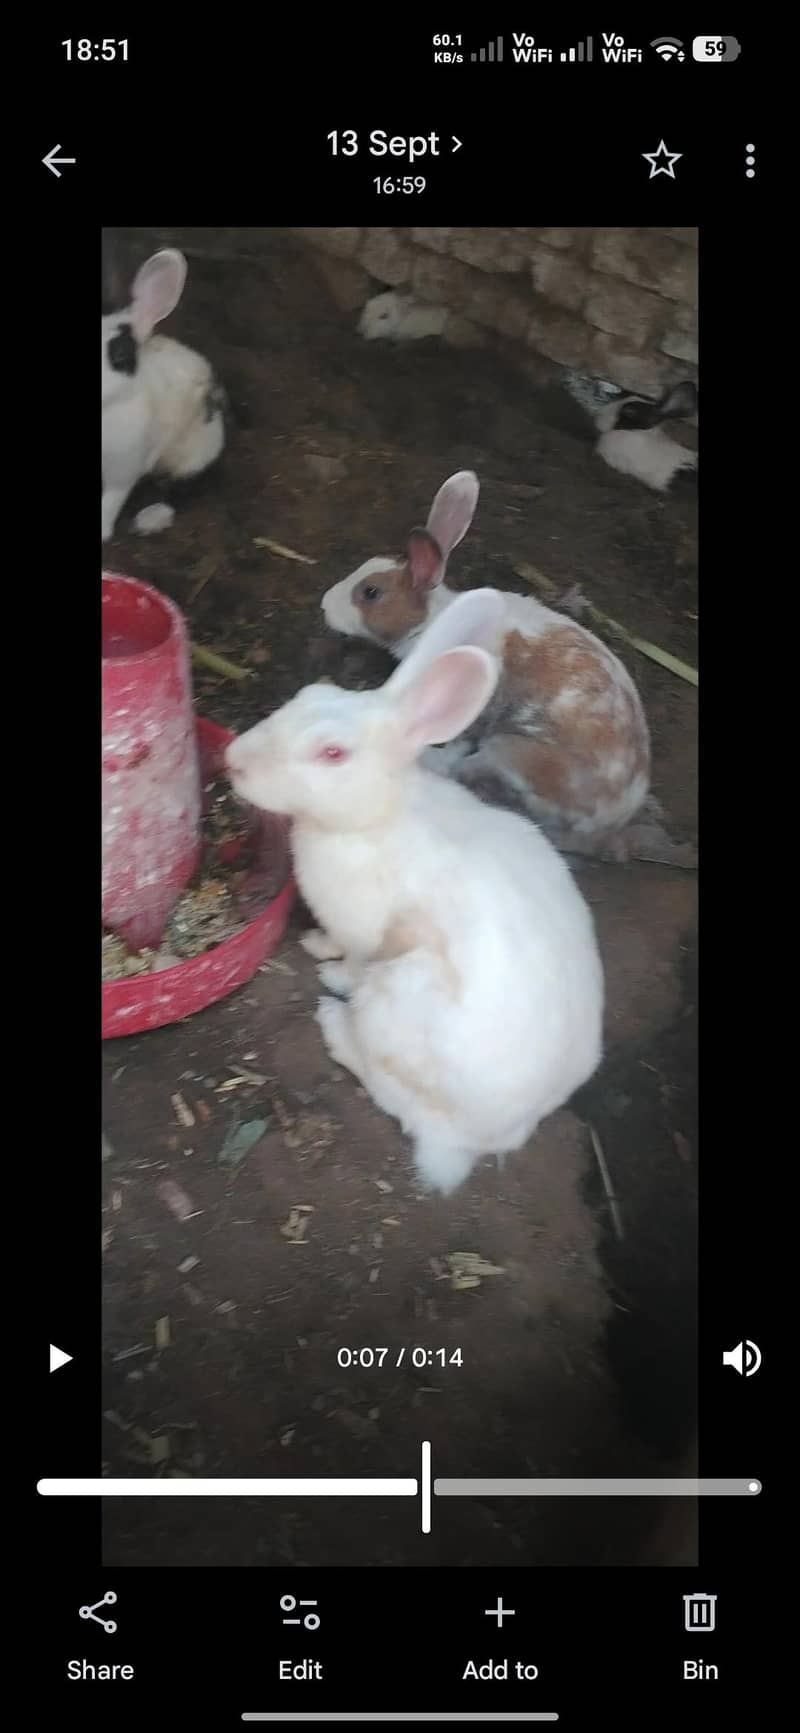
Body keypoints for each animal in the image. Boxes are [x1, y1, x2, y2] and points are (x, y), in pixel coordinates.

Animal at [101, 240, 227, 542]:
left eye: (120, 356)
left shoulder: (122, 470)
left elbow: (110, 502)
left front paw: (101, 532)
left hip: (192, 455)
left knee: (183, 488)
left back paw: (150, 518)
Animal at [225, 588, 604, 1197]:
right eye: (307, 695)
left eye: (332, 754)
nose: (234, 760)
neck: (376, 820)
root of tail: (483, 1139)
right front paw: (314, 945)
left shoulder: (365, 934)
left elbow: (351, 958)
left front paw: (326, 965)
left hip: (396, 1001)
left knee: (390, 1092)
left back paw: (333, 1021)